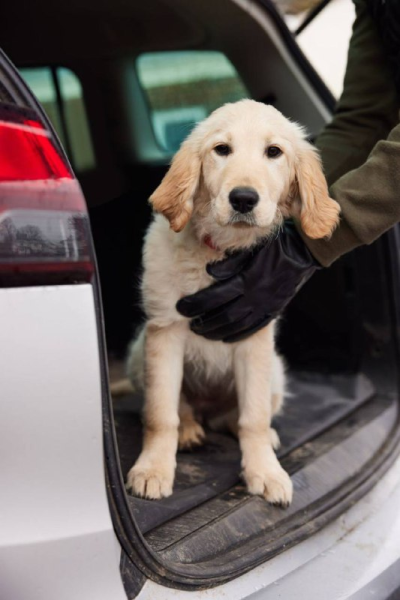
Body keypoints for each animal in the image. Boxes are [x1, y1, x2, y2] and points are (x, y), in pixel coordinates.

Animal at [123, 101, 340, 504]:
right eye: (221, 149)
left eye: (274, 152)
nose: (243, 198)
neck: (220, 251)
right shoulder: (164, 330)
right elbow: (161, 413)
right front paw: (153, 468)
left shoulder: (253, 338)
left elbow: (253, 416)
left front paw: (264, 471)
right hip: (137, 354)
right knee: (182, 407)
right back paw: (189, 429)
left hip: (275, 371)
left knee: (237, 417)